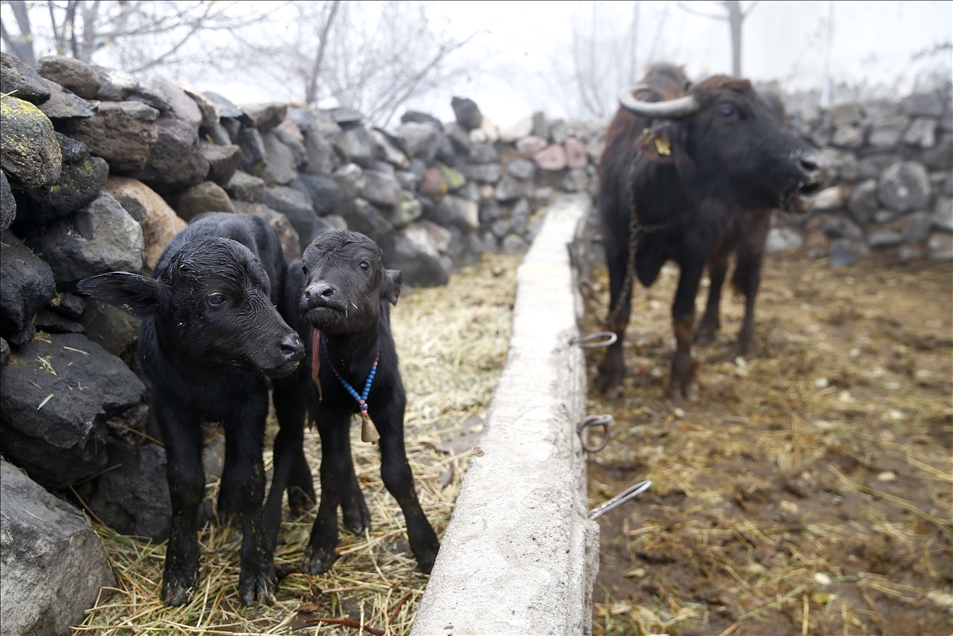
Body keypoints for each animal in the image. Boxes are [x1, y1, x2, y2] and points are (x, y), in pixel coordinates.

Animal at [78, 214, 304, 608]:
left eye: (265, 289)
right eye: (217, 298)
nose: (293, 346)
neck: (205, 373)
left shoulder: (252, 400)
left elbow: (249, 478)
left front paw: (257, 571)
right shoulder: (169, 403)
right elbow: (184, 480)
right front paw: (179, 571)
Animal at [268, 230, 438, 576]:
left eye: (364, 264)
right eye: (307, 267)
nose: (317, 293)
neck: (353, 362)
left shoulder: (392, 402)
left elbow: (397, 472)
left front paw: (426, 547)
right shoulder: (325, 408)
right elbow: (333, 470)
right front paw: (320, 544)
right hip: (289, 392)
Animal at [596, 63, 824, 398]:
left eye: (764, 109)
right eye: (727, 111)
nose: (814, 166)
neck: (653, 203)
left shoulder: (694, 252)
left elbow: (682, 314)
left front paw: (682, 378)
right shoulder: (615, 247)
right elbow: (619, 311)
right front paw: (611, 375)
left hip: (757, 229)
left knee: (752, 283)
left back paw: (744, 343)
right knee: (719, 273)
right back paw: (708, 329)